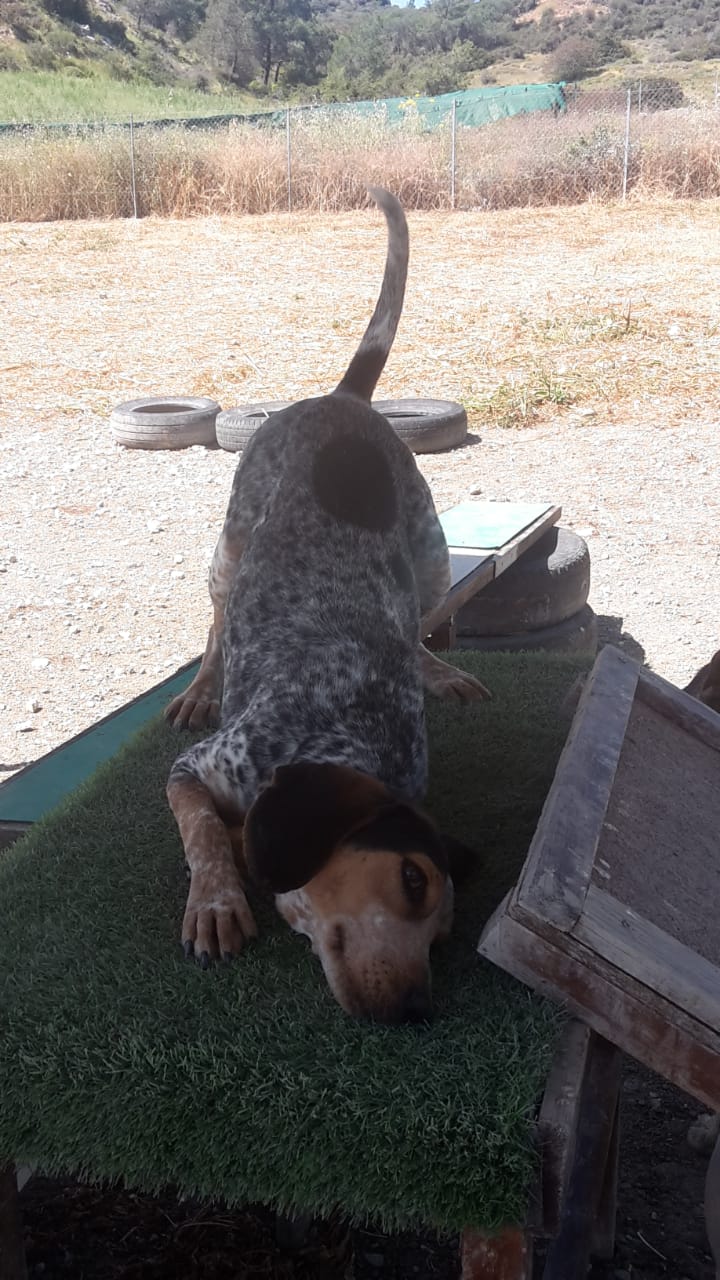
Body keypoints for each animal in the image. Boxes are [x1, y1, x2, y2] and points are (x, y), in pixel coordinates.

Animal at [165, 189, 486, 1024]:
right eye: (412, 880)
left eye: (444, 935)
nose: (418, 1010)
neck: (344, 733)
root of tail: (343, 399)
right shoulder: (193, 772)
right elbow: (204, 837)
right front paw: (217, 901)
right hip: (231, 542)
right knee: (215, 620)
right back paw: (201, 687)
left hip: (430, 557)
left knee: (421, 617)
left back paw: (439, 669)